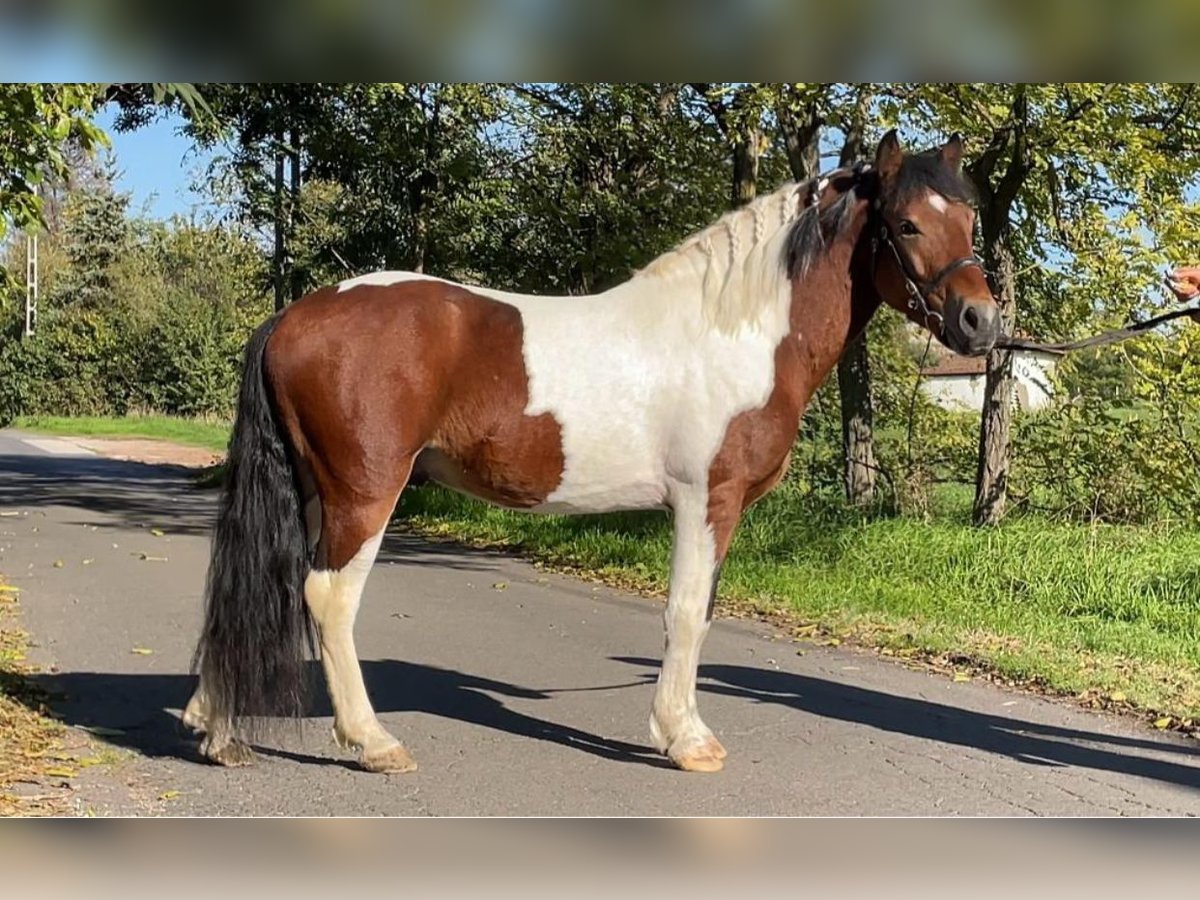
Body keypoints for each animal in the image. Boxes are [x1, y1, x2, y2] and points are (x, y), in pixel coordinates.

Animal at [182, 132, 998, 777]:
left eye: (968, 219)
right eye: (906, 223)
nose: (981, 322)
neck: (737, 331)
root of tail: (296, 315)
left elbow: (701, 613)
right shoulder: (707, 500)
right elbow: (686, 613)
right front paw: (685, 739)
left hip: (313, 488)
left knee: (267, 586)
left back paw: (217, 730)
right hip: (364, 492)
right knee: (327, 596)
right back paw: (372, 741)